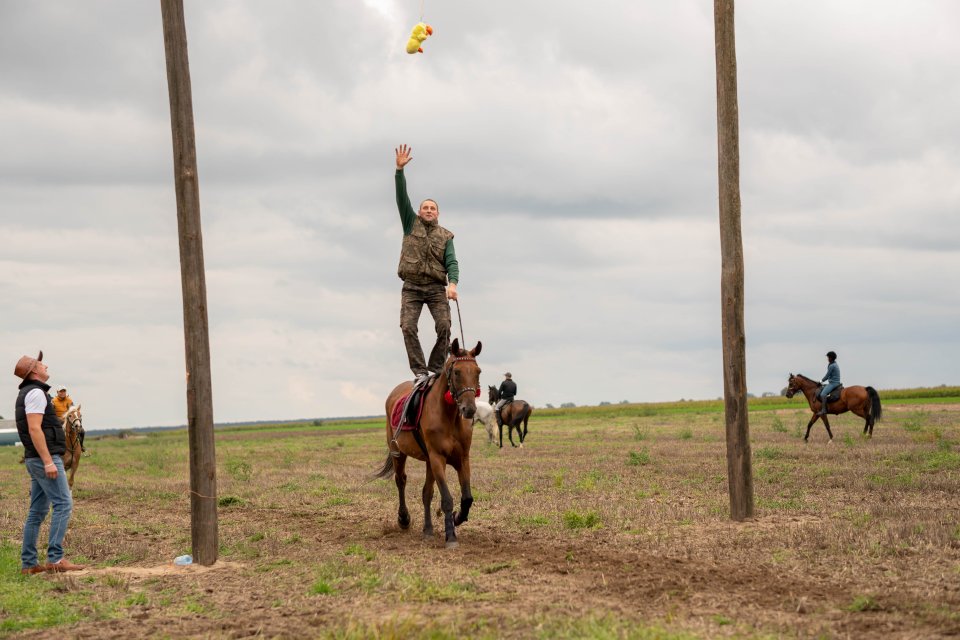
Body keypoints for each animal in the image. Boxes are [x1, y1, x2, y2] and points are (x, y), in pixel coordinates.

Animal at [374, 340, 480, 552]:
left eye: (478, 371)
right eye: (457, 372)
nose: (469, 409)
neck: (449, 416)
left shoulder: (462, 459)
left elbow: (466, 498)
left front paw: (457, 518)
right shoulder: (437, 458)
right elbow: (446, 498)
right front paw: (451, 536)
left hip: (428, 462)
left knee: (426, 493)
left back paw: (428, 530)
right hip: (399, 453)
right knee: (401, 481)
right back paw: (404, 519)